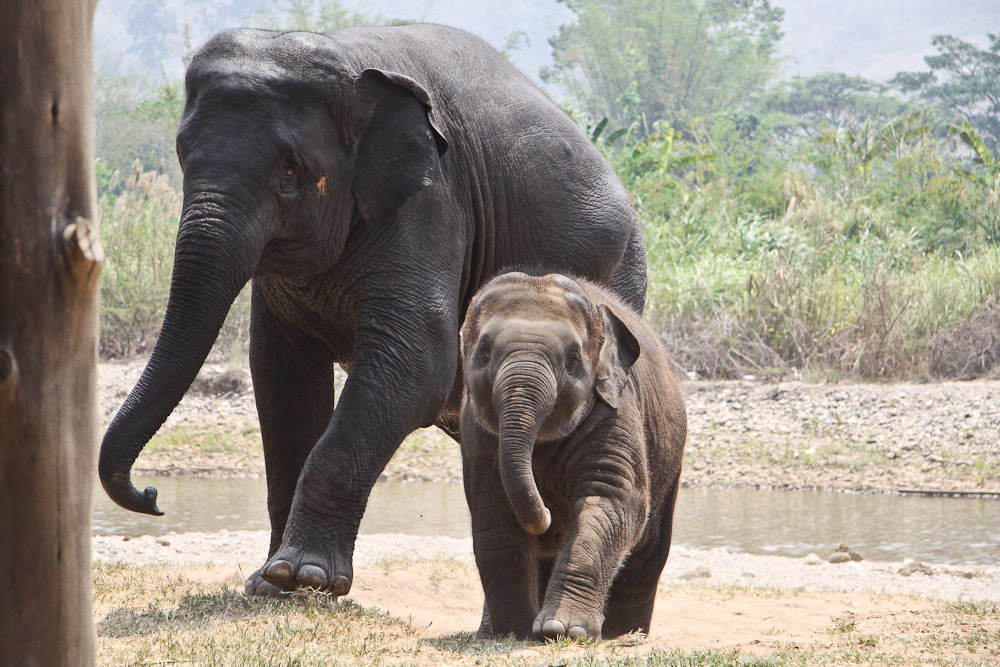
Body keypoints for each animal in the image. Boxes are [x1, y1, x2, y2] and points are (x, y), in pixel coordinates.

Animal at [97, 24, 648, 598]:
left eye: (289, 173)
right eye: (182, 153)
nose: (152, 496)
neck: (346, 58)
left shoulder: (433, 205)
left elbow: (417, 365)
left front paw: (307, 576)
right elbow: (282, 378)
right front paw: (271, 582)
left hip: (620, 273)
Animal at [459, 271, 686, 640]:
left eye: (573, 361)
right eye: (484, 353)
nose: (548, 517)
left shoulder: (615, 406)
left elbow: (611, 498)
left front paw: (563, 630)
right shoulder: (475, 432)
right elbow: (493, 511)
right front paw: (516, 632)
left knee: (647, 554)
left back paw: (624, 634)